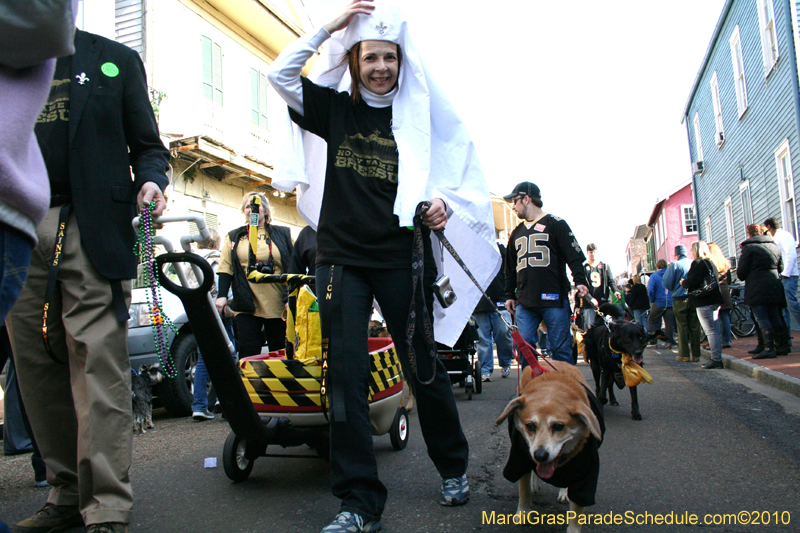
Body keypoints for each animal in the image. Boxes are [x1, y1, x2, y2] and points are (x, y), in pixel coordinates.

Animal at [496, 360, 604, 528]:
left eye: (558, 426)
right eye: (530, 426)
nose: (540, 455)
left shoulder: (585, 473)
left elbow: (576, 516)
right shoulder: (520, 459)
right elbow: (524, 490)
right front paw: (523, 513)